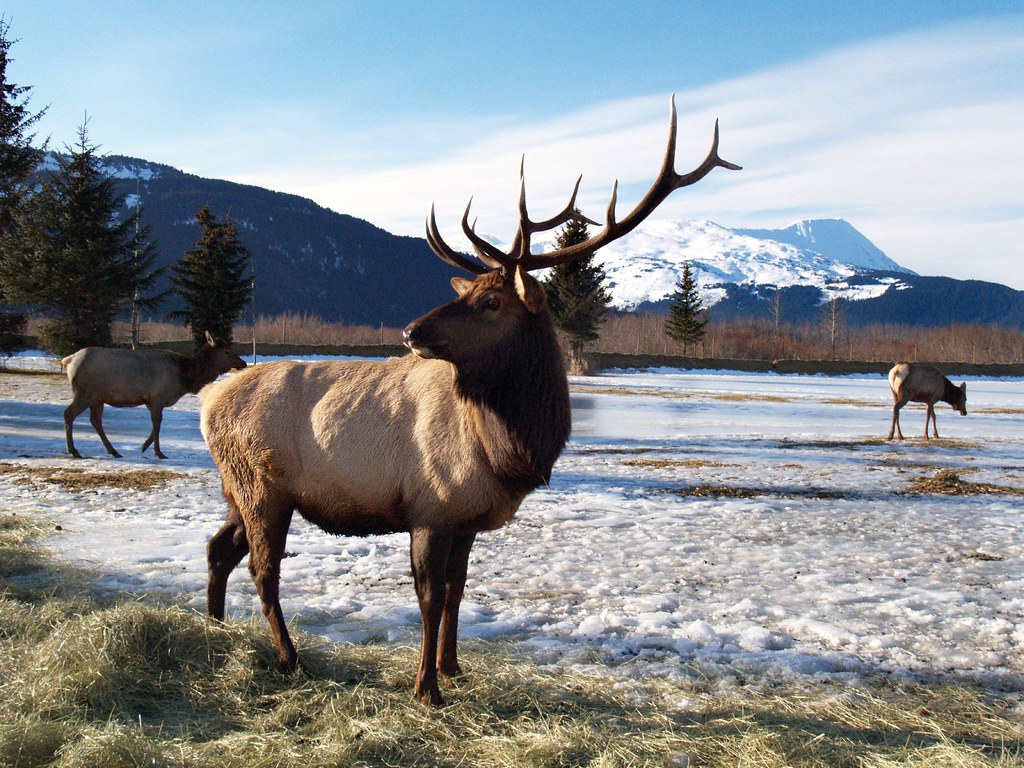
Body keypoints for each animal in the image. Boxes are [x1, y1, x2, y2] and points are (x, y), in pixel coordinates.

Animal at [63, 331, 247, 459]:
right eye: (227, 351)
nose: (243, 363)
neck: (185, 377)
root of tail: (69, 359)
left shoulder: (150, 400)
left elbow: (155, 426)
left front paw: (144, 446)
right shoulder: (158, 397)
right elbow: (157, 424)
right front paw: (158, 452)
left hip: (98, 397)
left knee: (96, 421)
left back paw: (113, 451)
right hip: (85, 392)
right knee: (69, 414)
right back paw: (74, 450)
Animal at [199, 96, 740, 705]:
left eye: (491, 302)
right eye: (477, 293)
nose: (410, 330)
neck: (508, 449)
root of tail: (208, 399)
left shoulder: (466, 519)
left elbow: (459, 591)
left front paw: (454, 667)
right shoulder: (430, 508)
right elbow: (430, 597)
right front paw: (426, 689)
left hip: (240, 489)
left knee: (219, 549)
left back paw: (214, 629)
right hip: (261, 486)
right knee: (263, 572)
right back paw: (291, 660)